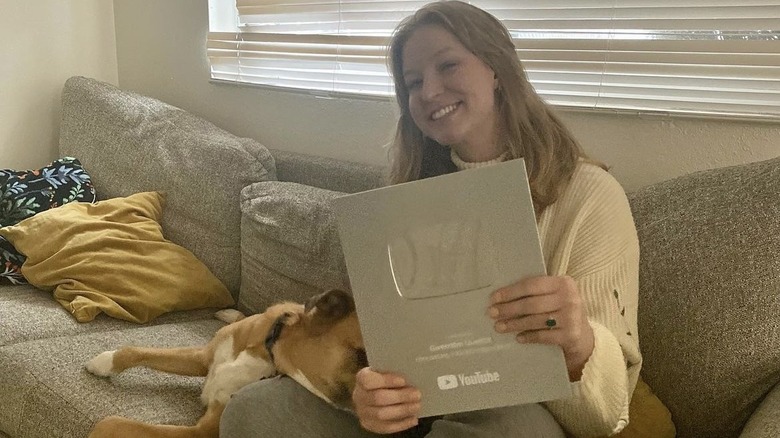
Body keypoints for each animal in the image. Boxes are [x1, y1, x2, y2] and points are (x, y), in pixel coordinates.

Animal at [85, 290, 366, 438]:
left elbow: (110, 422)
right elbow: (137, 350)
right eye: (363, 355)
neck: (269, 353)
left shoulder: (199, 432)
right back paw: (229, 313)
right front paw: (104, 362)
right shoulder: (204, 357)